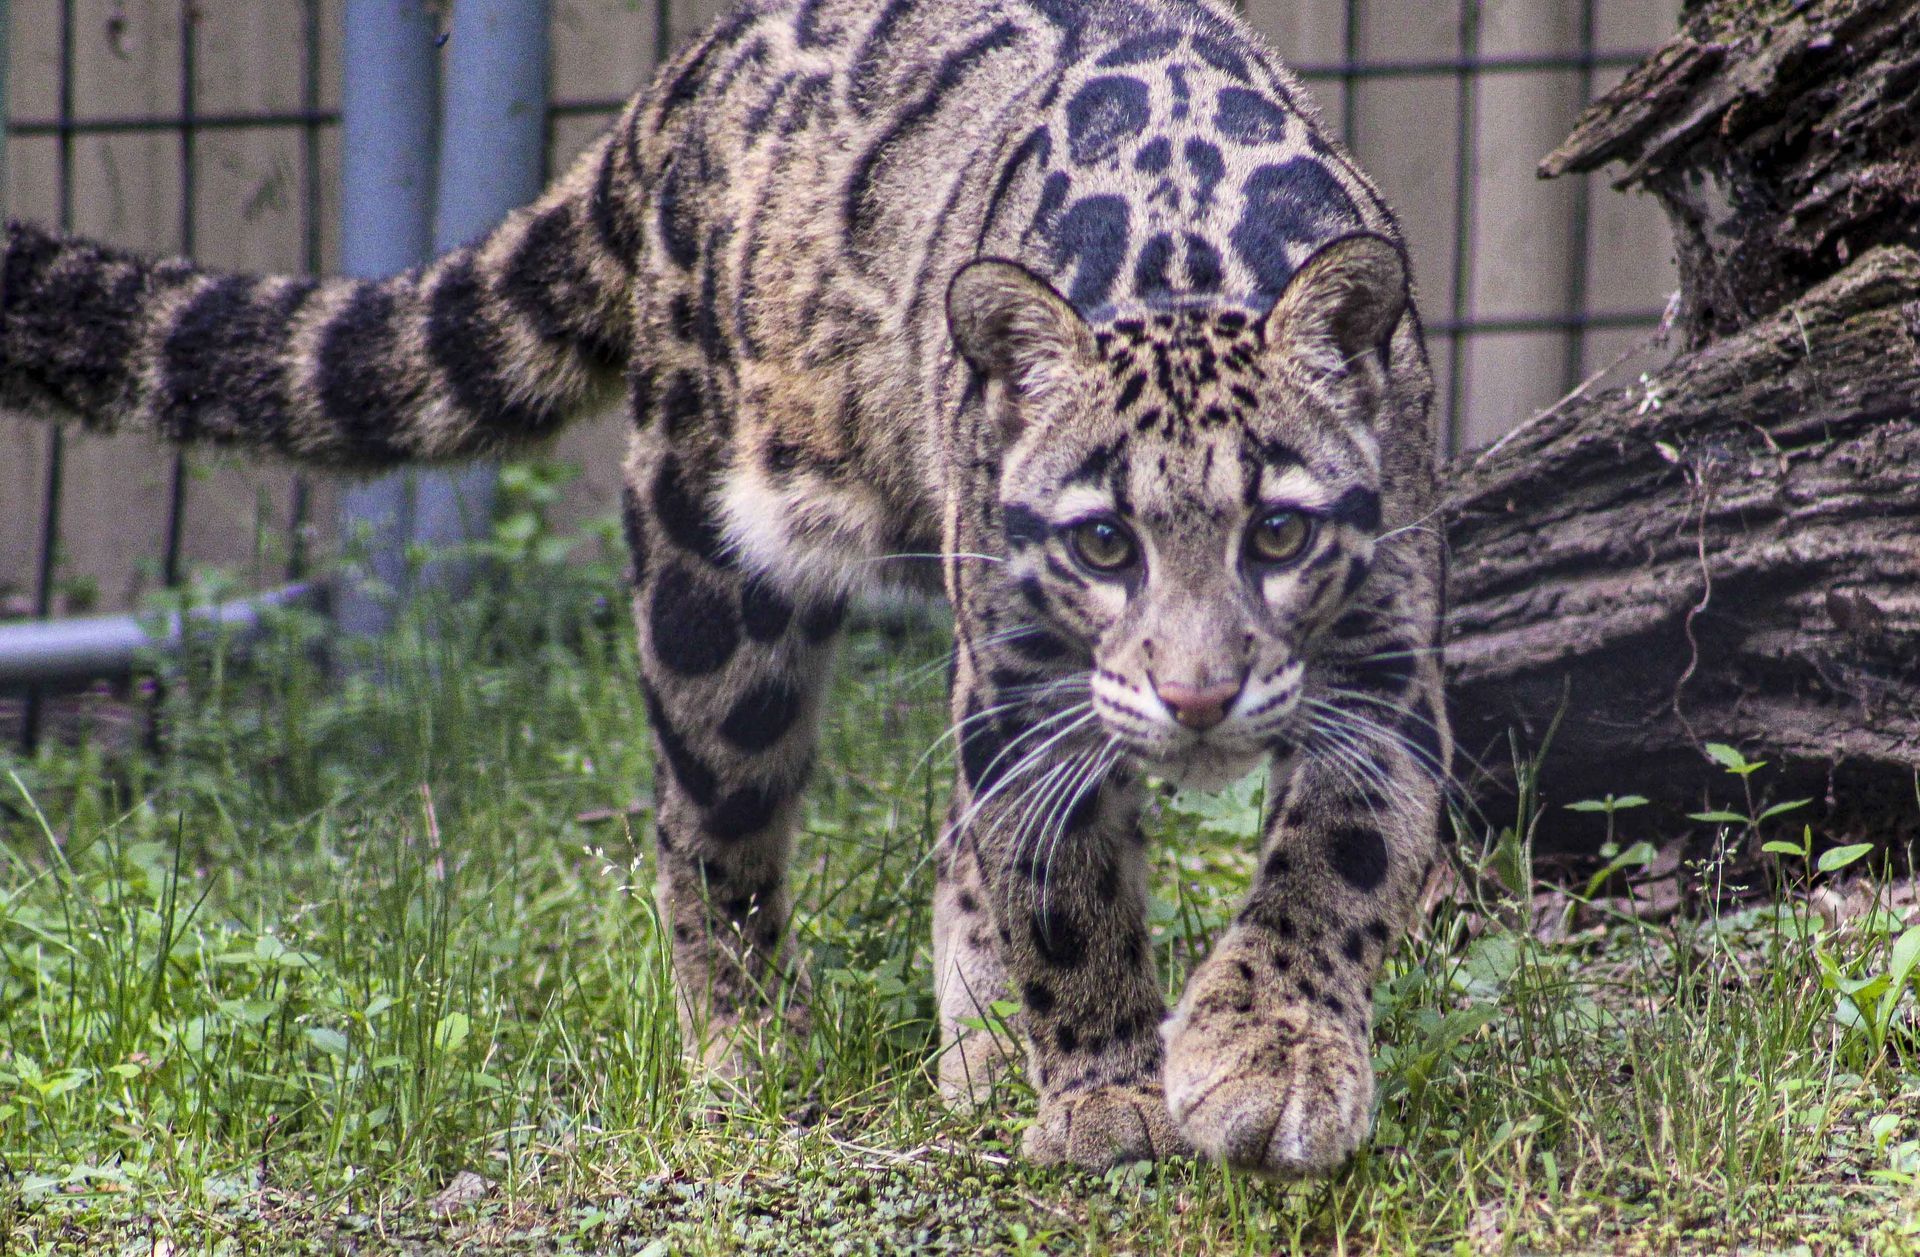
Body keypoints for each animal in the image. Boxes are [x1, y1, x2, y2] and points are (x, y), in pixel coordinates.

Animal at [1, 0, 1448, 1177]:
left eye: (1276, 532)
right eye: (1105, 544)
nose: (1198, 698)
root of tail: (688, 66)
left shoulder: (1384, 665)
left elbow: (1335, 864)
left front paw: (1269, 1059)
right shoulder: (1029, 675)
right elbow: (1066, 884)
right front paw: (1111, 1096)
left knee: (941, 833)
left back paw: (978, 1051)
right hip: (712, 571)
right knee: (710, 828)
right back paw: (754, 1050)